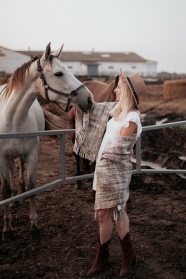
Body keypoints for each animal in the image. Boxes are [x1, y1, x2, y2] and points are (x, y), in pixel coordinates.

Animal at [0, 42, 93, 242]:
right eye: (59, 73)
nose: (89, 99)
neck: (12, 120)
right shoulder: (1, 158)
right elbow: (5, 190)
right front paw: (7, 228)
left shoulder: (32, 154)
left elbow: (31, 186)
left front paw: (34, 226)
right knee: (11, 173)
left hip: (21, 155)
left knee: (18, 168)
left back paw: (19, 194)